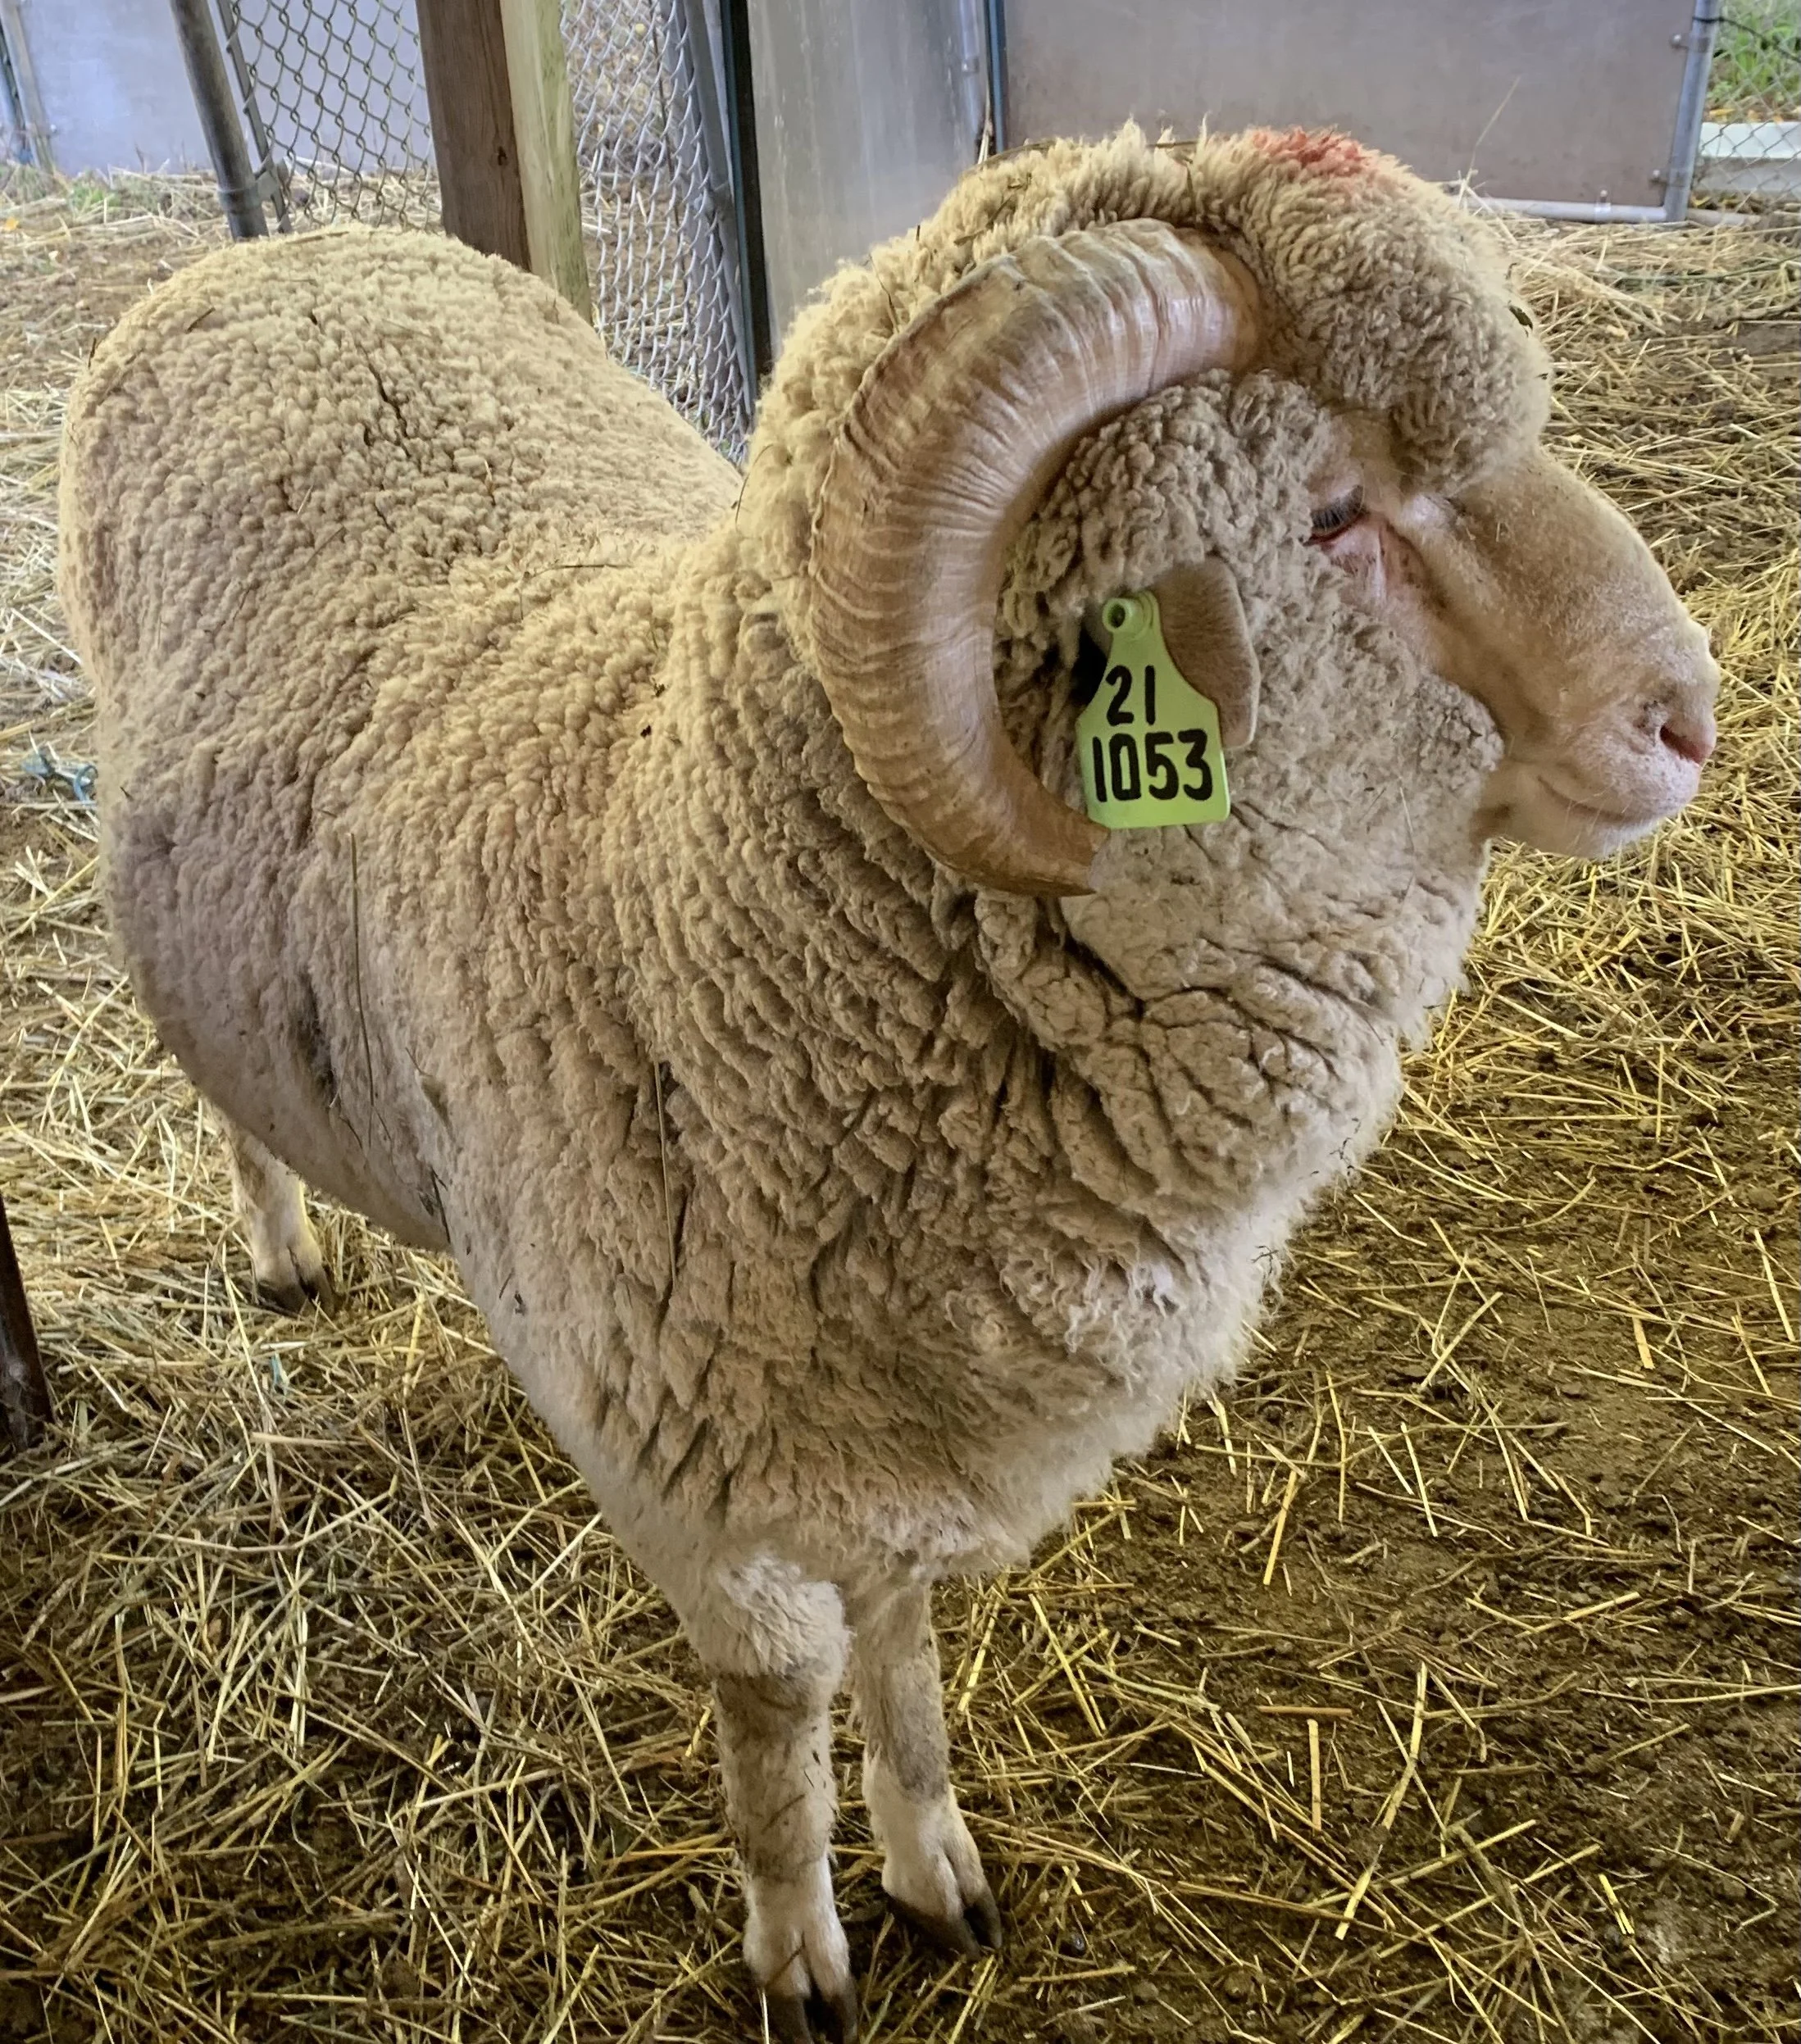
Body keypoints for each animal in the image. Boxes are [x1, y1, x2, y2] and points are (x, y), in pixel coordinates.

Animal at [58, 124, 1716, 2039]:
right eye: (1328, 512)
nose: (1691, 717)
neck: (684, 908)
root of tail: (301, 247)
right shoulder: (698, 1494)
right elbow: (777, 1716)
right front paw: (797, 1948)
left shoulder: (906, 1426)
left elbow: (907, 1635)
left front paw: (936, 1867)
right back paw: (276, 1249)